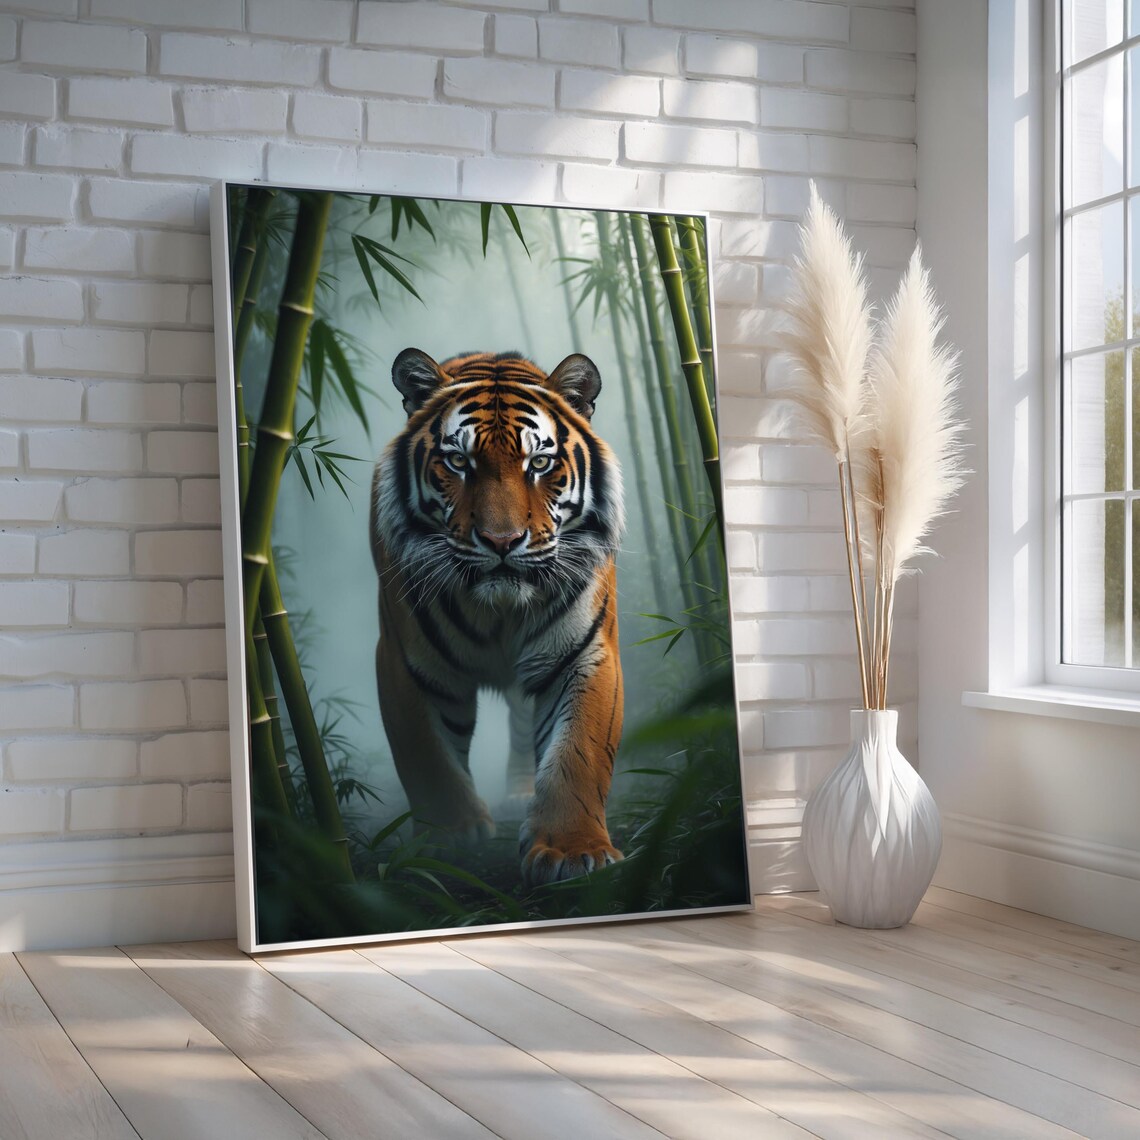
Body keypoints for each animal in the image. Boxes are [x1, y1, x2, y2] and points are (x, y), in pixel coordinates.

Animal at [370, 348, 626, 886]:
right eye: (458, 462)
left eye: (540, 463)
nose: (502, 542)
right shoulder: (405, 663)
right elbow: (429, 758)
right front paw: (446, 838)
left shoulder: (584, 653)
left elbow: (579, 752)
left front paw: (573, 851)